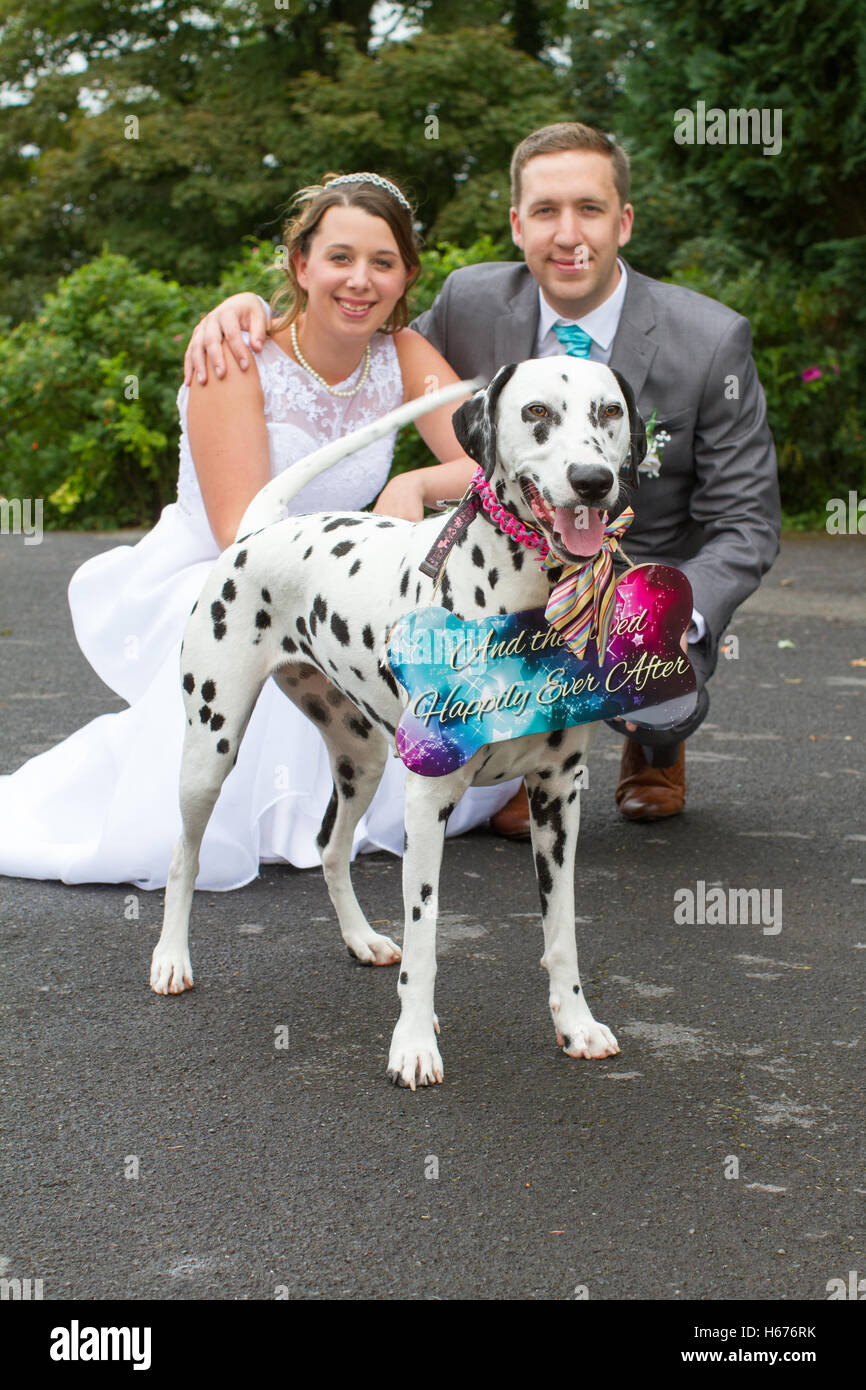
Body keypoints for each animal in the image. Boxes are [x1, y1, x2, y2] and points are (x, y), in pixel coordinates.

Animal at [150, 355, 644, 1084]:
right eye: (536, 413)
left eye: (609, 411)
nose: (593, 479)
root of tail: (259, 530)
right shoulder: (427, 801)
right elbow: (426, 938)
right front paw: (413, 1045)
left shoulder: (557, 797)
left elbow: (562, 932)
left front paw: (577, 1023)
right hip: (210, 751)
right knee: (184, 856)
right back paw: (170, 960)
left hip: (362, 758)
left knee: (329, 848)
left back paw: (360, 939)